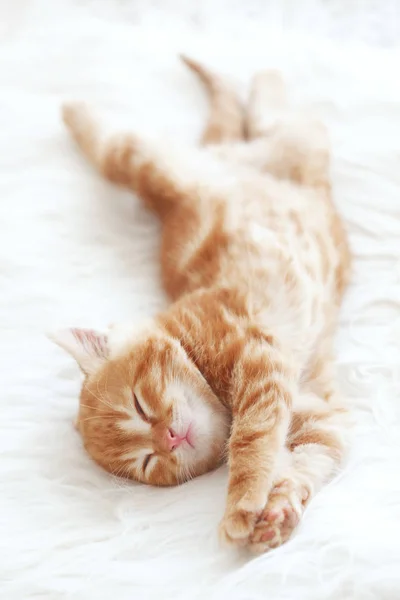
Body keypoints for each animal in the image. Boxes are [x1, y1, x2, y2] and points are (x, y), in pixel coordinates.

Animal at [51, 57, 352, 552]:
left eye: (138, 405)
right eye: (147, 460)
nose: (170, 438)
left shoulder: (259, 357)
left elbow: (252, 439)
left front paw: (242, 502)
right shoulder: (321, 419)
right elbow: (308, 461)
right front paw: (278, 511)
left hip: (153, 163)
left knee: (126, 145)